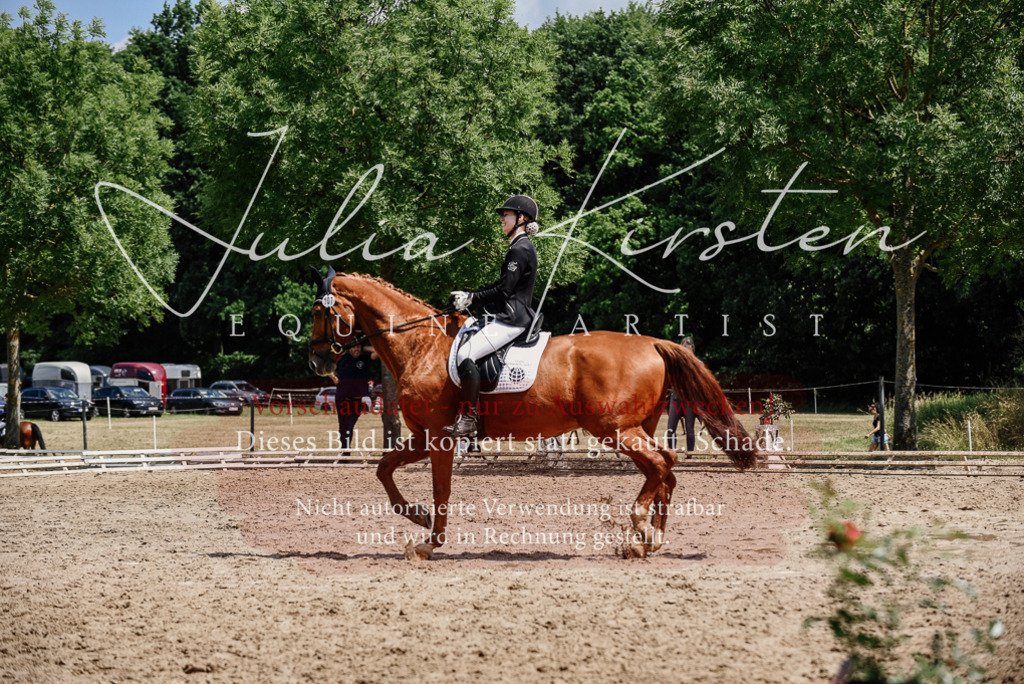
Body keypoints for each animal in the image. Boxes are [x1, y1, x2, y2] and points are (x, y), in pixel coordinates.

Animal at [308, 271, 760, 560]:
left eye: (318, 312)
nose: (316, 362)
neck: (422, 346)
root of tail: (651, 342)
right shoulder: (422, 436)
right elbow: (384, 469)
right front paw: (418, 519)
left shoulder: (440, 436)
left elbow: (440, 491)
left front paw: (427, 543)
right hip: (635, 427)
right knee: (663, 467)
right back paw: (651, 539)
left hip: (615, 429)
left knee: (662, 464)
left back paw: (641, 530)